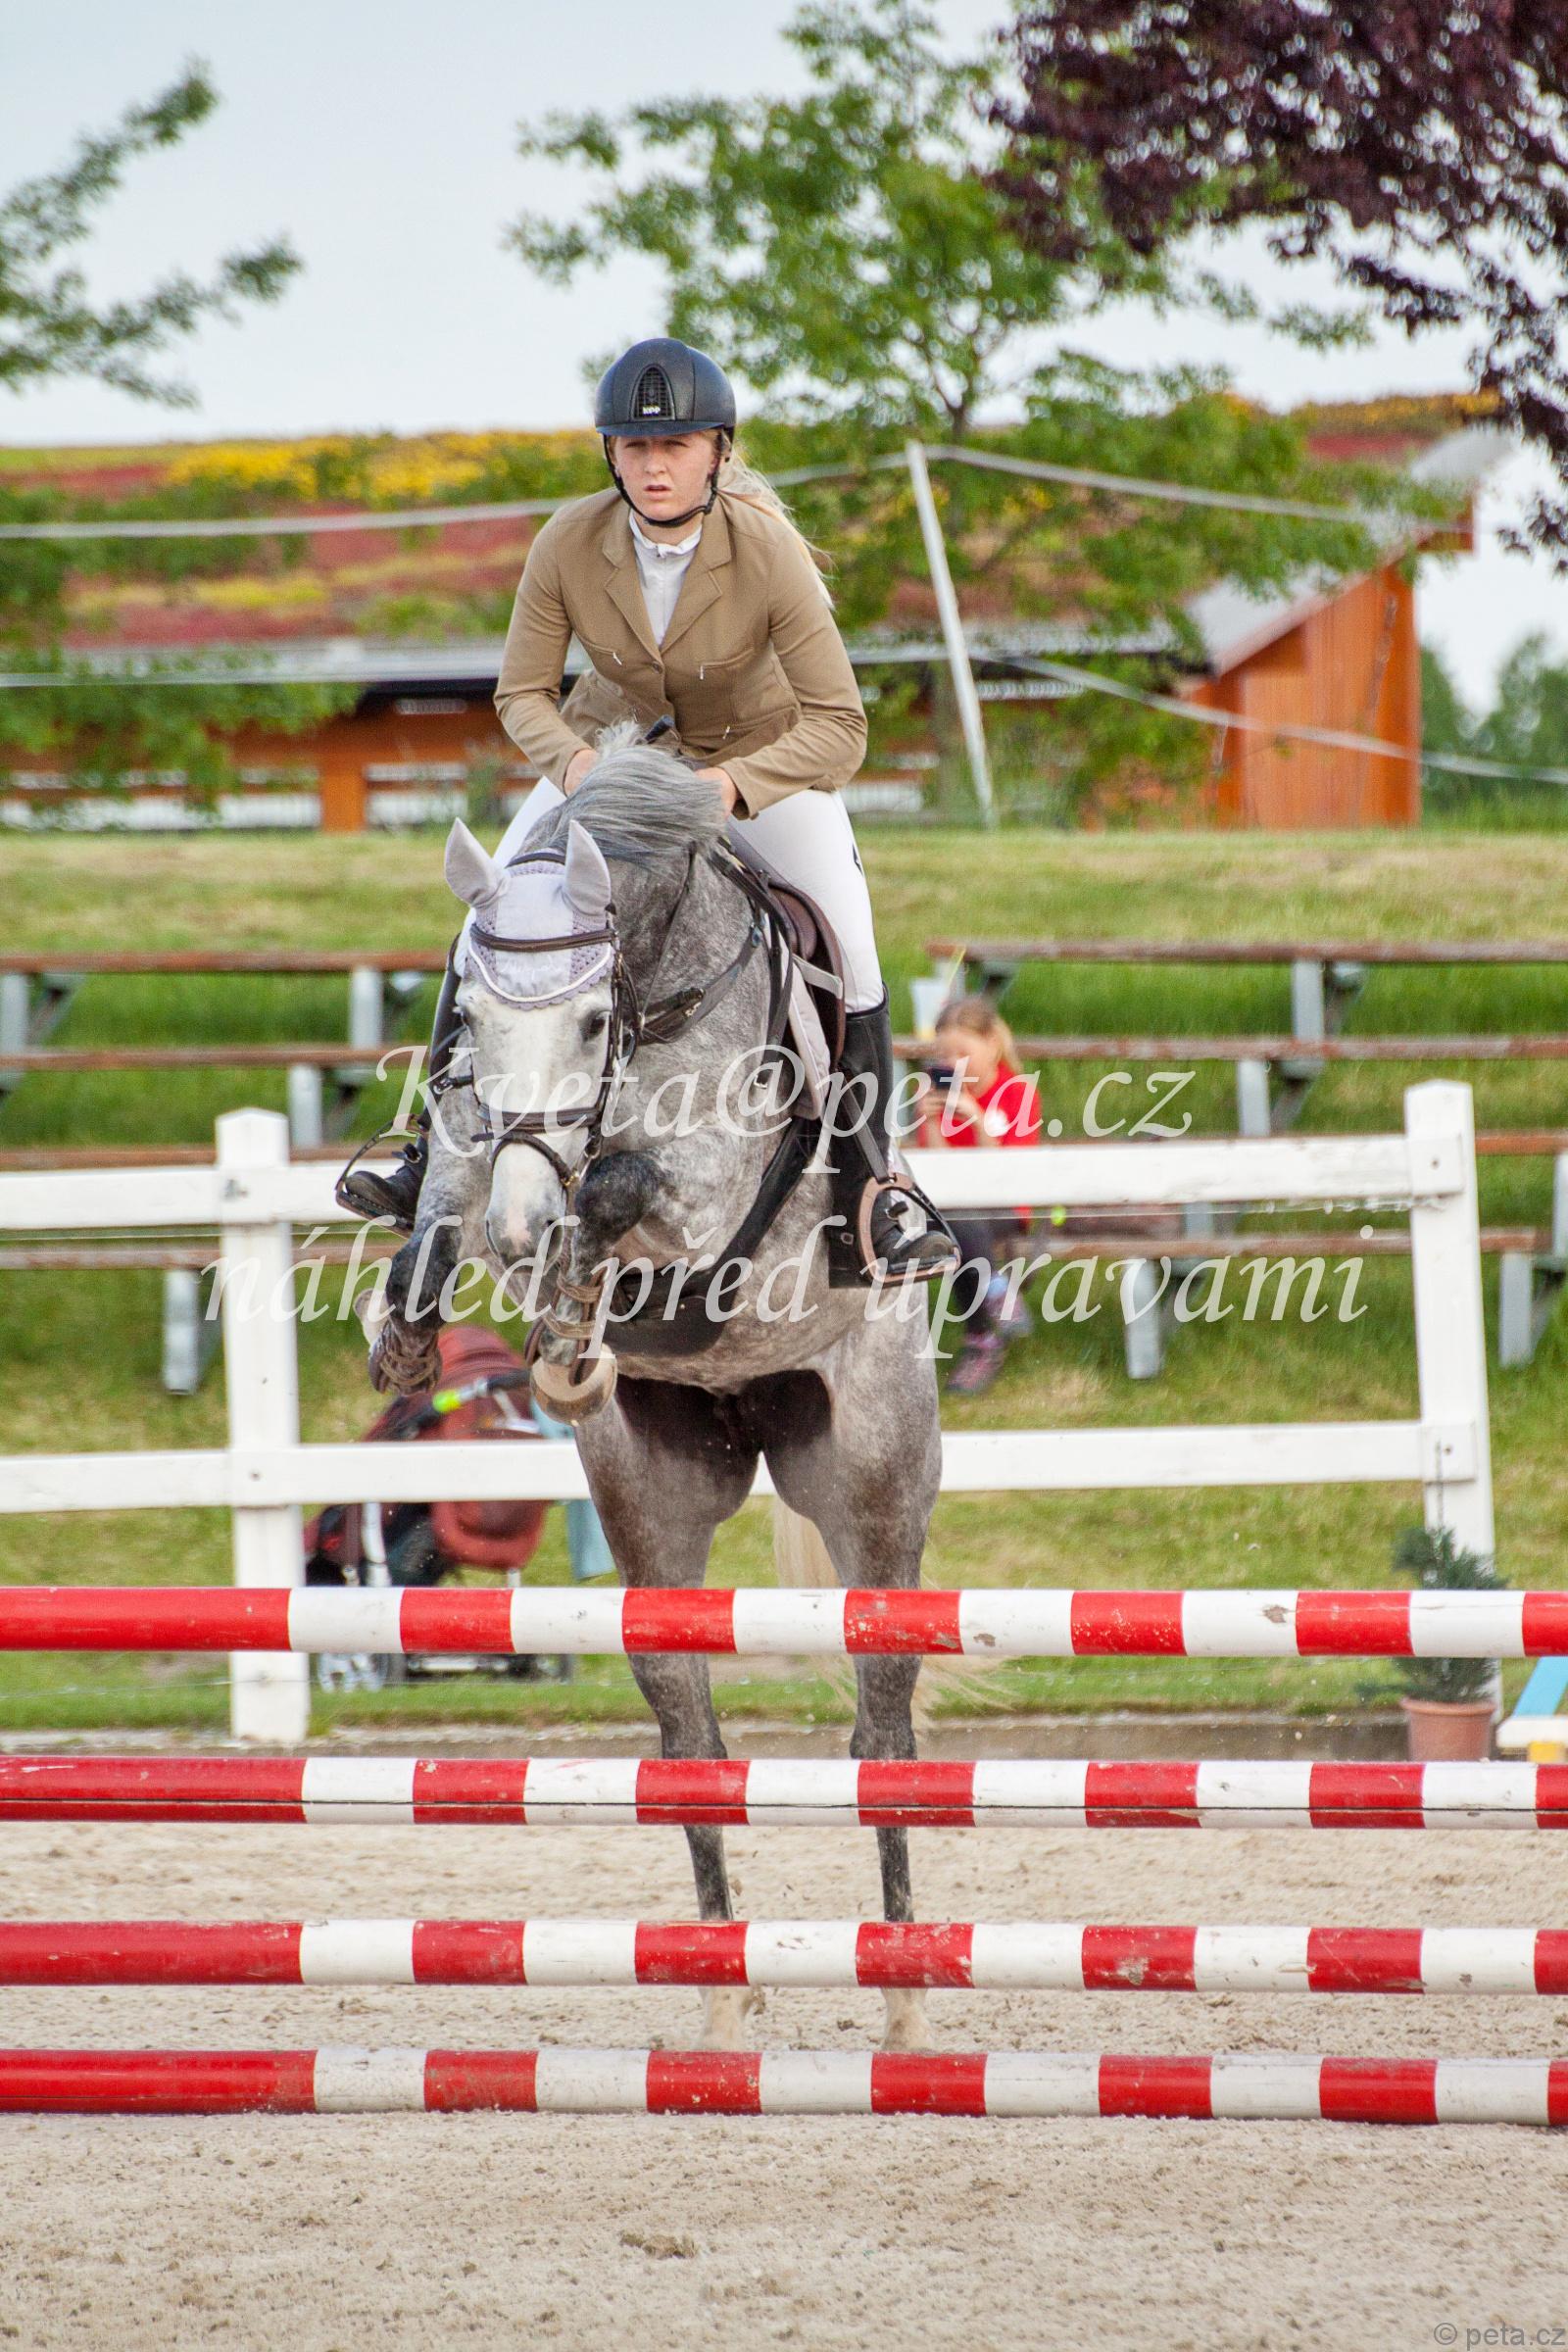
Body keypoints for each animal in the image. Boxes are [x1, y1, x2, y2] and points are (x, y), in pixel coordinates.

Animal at [363, 734, 944, 2050]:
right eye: (467, 1011)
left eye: (592, 1018)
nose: (525, 1226)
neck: (661, 992)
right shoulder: (475, 1148)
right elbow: (441, 1214)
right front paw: (436, 1335)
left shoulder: (712, 1190)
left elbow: (622, 1180)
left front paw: (571, 1286)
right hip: (650, 1500)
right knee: (692, 1735)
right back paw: (722, 2007)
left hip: (876, 1484)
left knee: (882, 1727)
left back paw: (900, 2009)